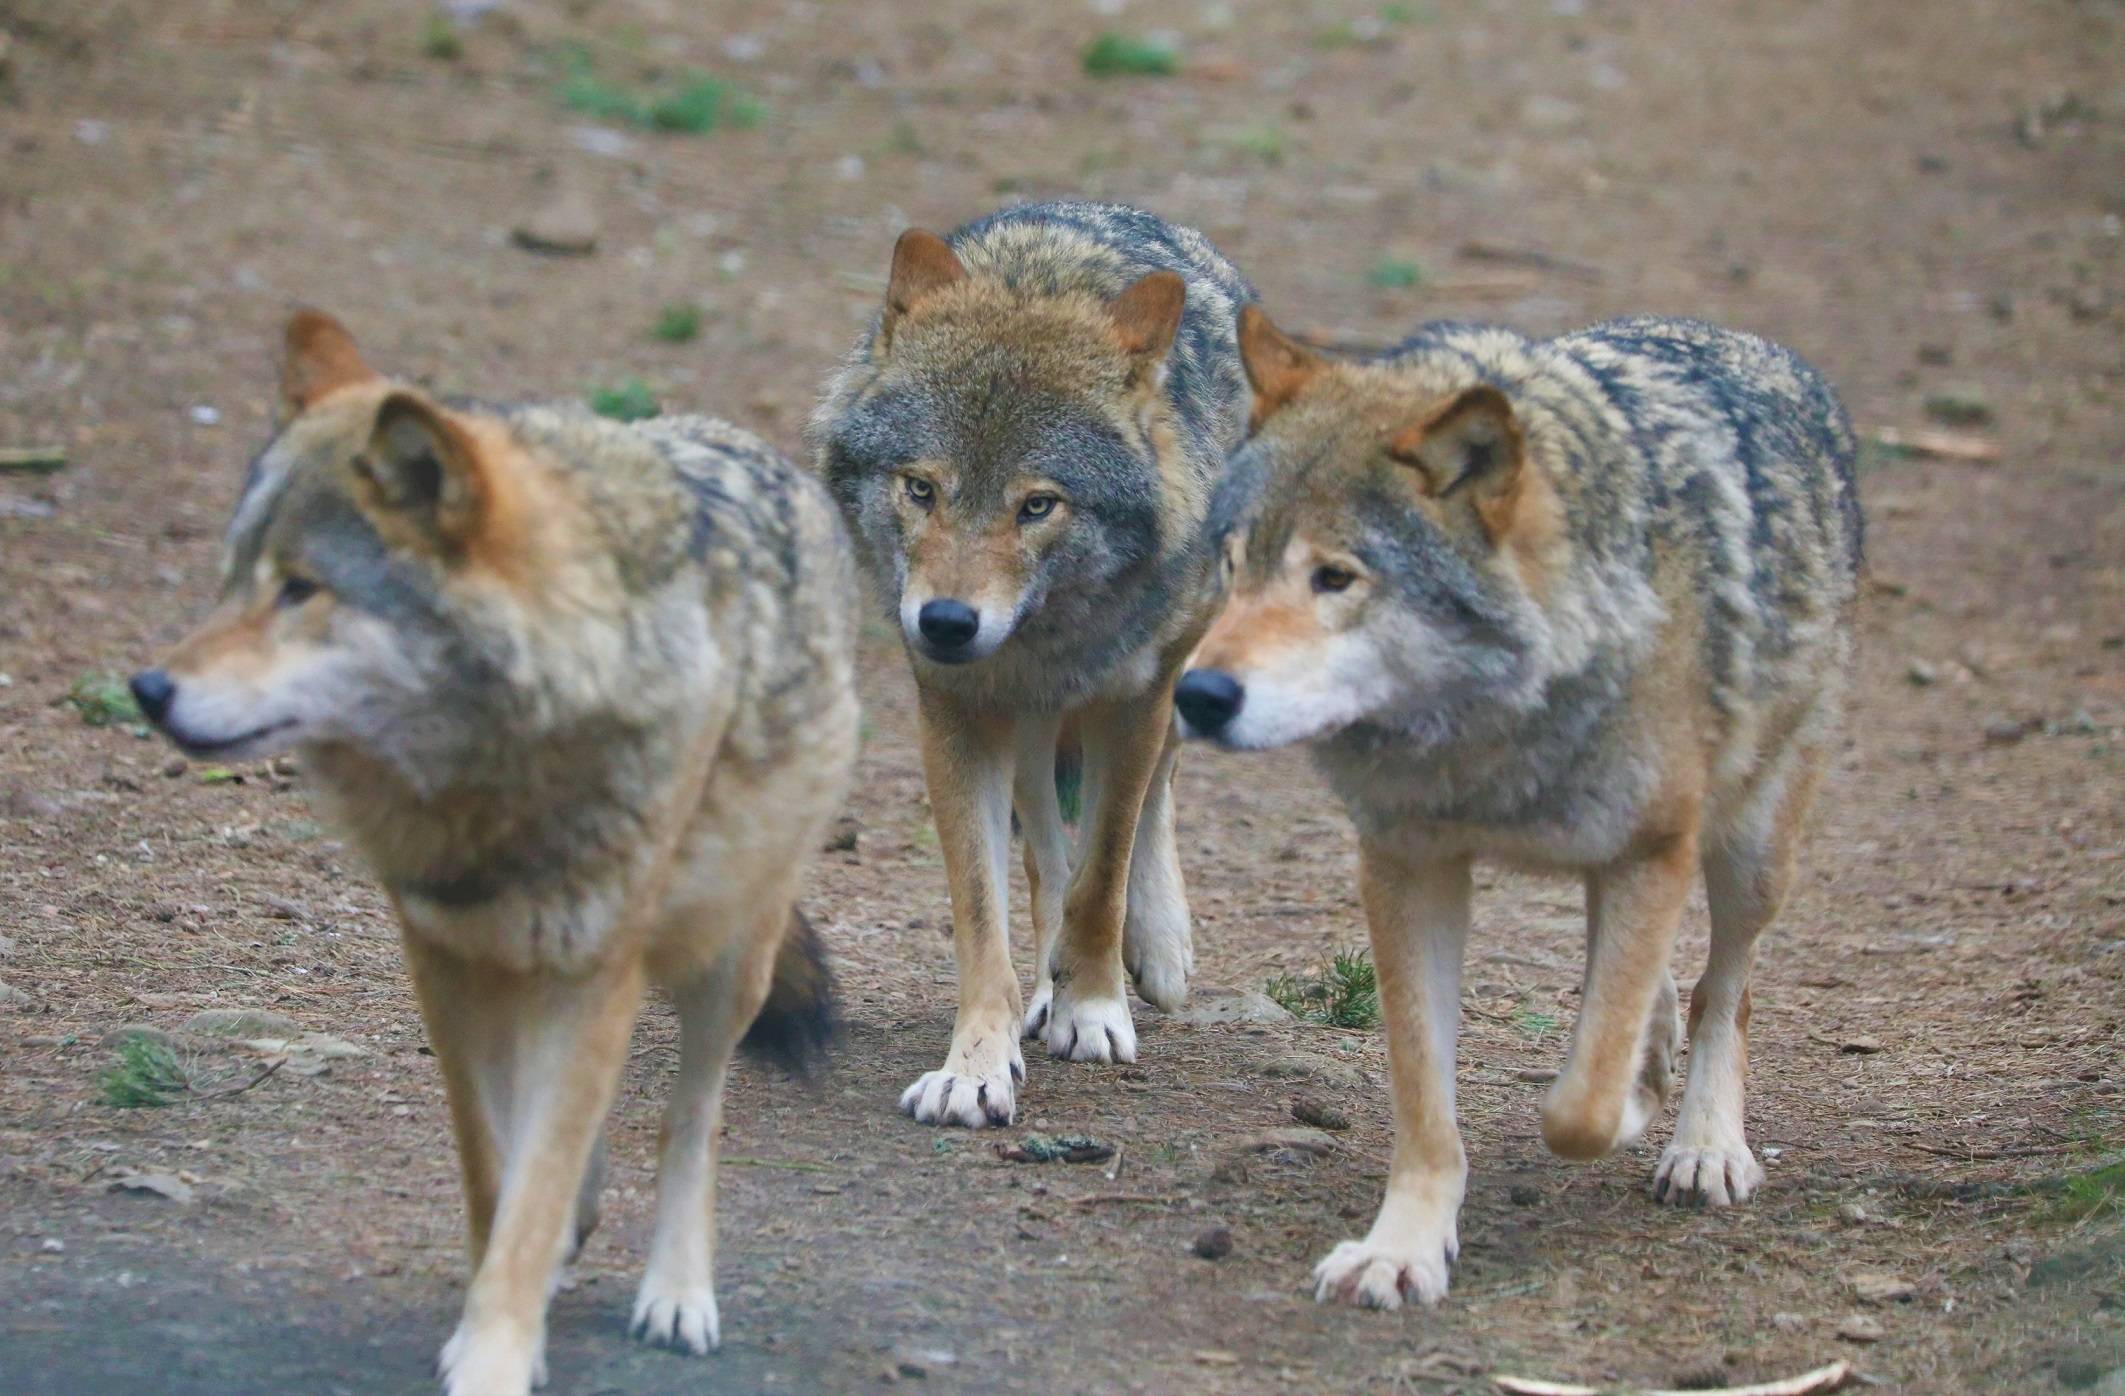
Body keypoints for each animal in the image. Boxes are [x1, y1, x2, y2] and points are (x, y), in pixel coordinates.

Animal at [132, 311, 860, 1393]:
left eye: (302, 589)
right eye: (231, 583)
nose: (147, 689)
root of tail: (751, 444)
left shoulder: (593, 972)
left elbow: (544, 1174)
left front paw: (494, 1353)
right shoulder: (443, 959)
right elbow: (496, 1166)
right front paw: (503, 1297)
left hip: (728, 959)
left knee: (692, 1116)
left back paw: (677, 1292)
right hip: (529, 965)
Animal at [811, 201, 1255, 1126]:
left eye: (1037, 505)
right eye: (920, 488)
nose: (945, 622)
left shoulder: (1135, 700)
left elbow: (1106, 870)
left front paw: (1094, 1008)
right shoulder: (957, 714)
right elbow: (987, 911)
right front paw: (977, 1062)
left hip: (1176, 671)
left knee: (1152, 801)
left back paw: (1156, 949)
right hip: (1025, 724)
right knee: (1046, 852)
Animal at [1179, 307, 1861, 1307]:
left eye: (1334, 577)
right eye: (1231, 566)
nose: (1196, 696)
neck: (1486, 727)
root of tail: (1761, 349)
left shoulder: (1654, 847)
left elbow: (1579, 1106)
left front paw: (1632, 1102)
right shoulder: (1404, 866)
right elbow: (1425, 1098)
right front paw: (1400, 1250)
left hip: (1749, 851)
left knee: (1725, 988)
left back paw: (1703, 1144)